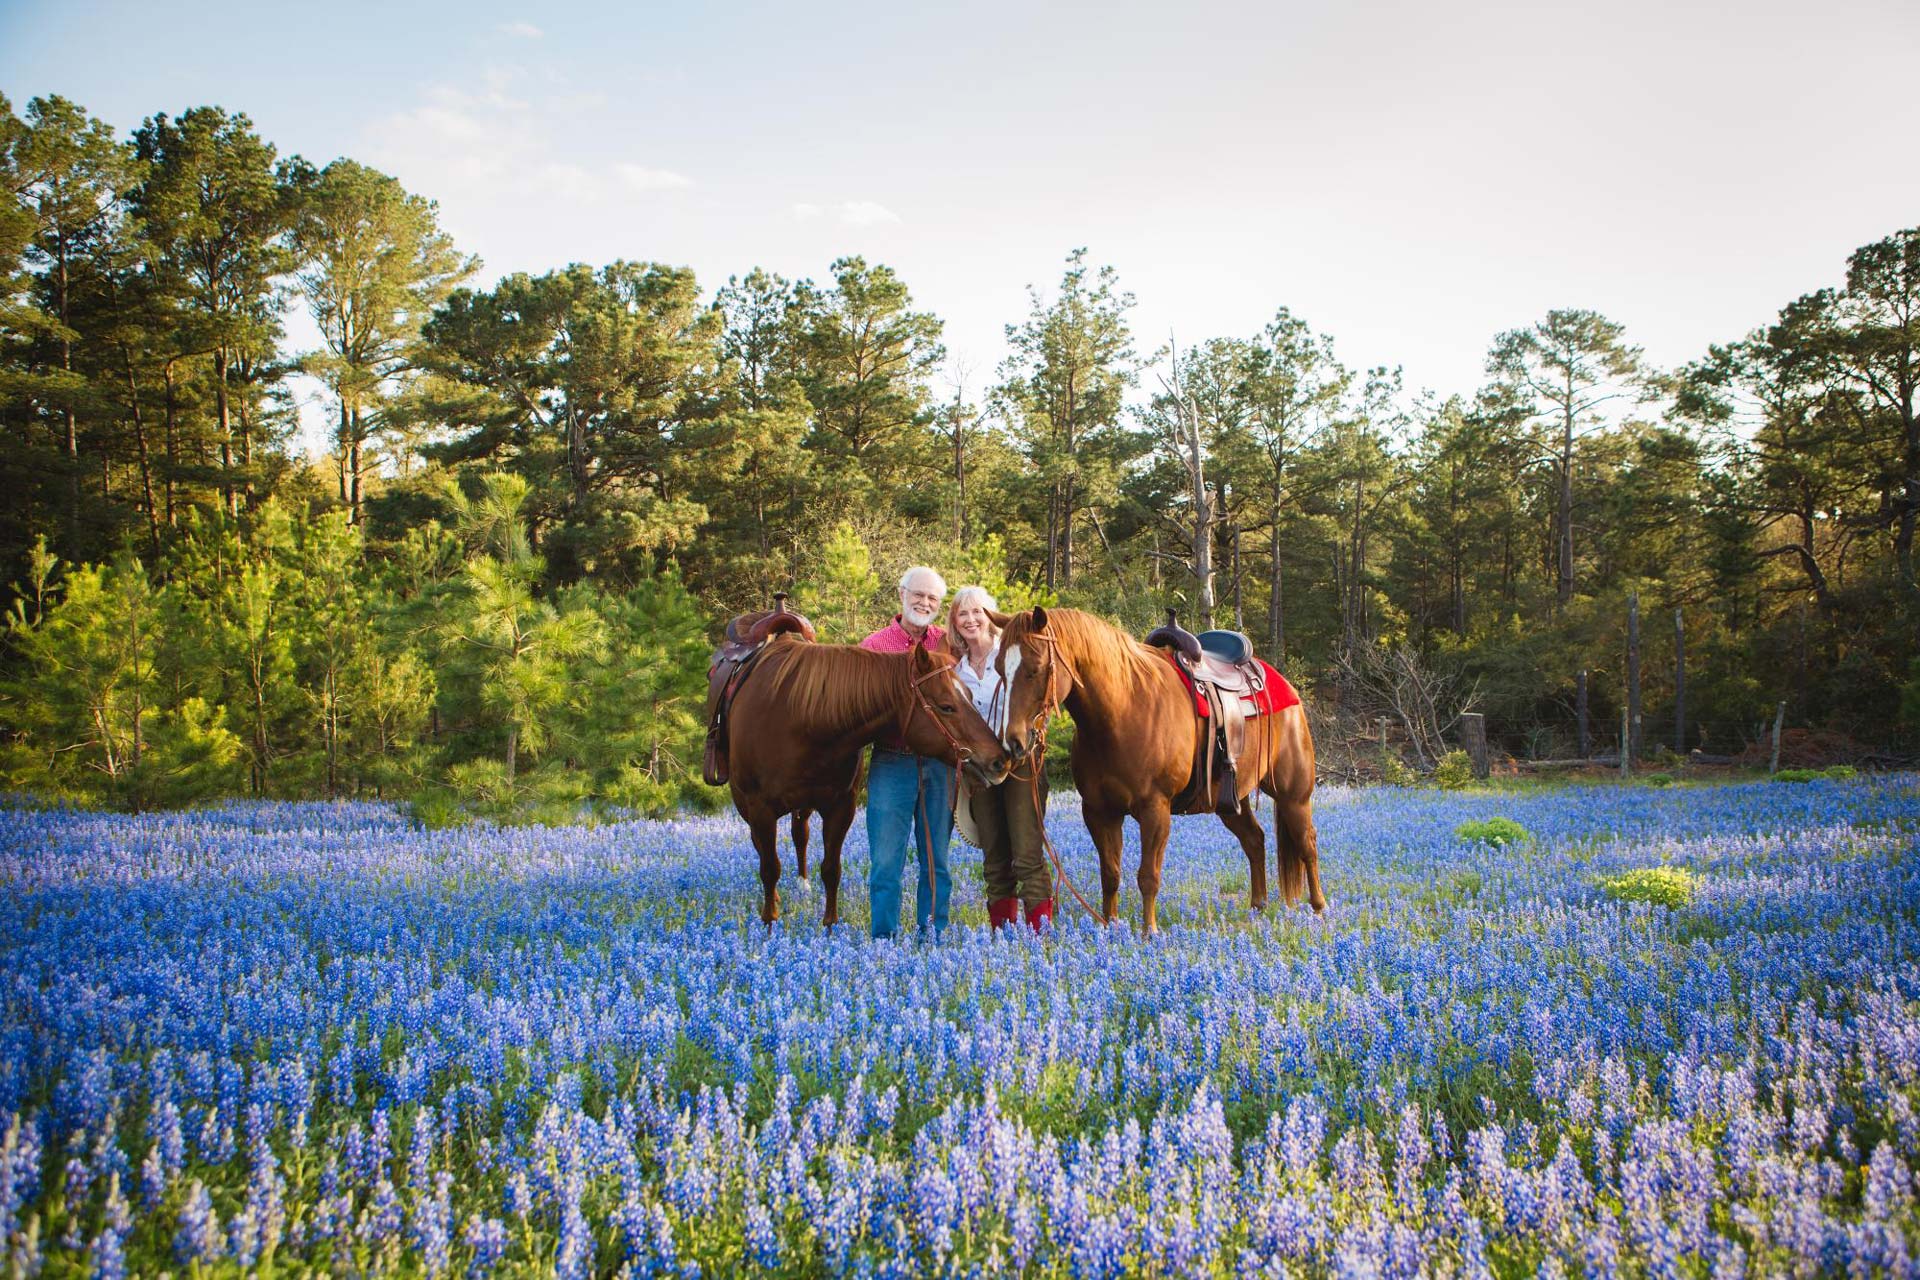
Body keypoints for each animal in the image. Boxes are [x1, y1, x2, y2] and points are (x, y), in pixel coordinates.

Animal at [714, 644, 1013, 924]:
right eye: (946, 706)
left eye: (971, 697)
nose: (1000, 761)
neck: (802, 720)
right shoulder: (760, 809)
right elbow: (770, 869)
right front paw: (769, 923)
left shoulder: (841, 807)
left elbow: (831, 869)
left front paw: (830, 927)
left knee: (800, 834)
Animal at [990, 606, 1320, 936]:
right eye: (998, 668)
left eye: (1035, 668)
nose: (1013, 742)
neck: (1123, 711)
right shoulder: (1099, 812)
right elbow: (1110, 874)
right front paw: (1111, 925)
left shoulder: (1155, 809)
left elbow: (1148, 876)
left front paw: (1149, 932)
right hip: (1229, 802)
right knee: (1255, 841)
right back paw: (1257, 907)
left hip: (1293, 796)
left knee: (1307, 843)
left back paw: (1318, 908)